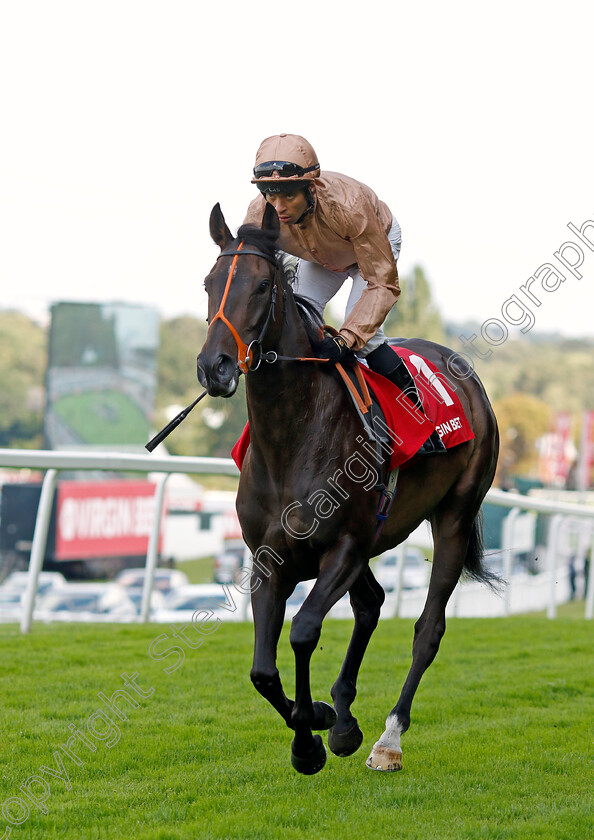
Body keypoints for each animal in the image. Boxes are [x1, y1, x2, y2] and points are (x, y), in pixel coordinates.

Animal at [197, 202, 498, 776]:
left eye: (263, 285)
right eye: (208, 283)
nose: (214, 366)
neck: (292, 436)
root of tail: (467, 378)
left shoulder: (343, 547)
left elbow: (303, 631)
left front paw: (310, 734)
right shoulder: (270, 557)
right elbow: (262, 670)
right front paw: (320, 723)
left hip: (451, 516)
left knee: (427, 629)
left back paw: (387, 739)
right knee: (373, 603)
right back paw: (343, 716)